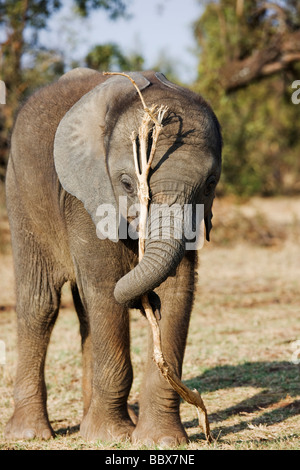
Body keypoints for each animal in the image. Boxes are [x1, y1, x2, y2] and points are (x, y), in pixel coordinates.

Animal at [3, 69, 221, 444]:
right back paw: (31, 434)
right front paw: (111, 437)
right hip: (19, 190)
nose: (147, 303)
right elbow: (105, 288)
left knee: (84, 313)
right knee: (41, 304)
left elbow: (178, 291)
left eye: (209, 184)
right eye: (126, 184)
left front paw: (159, 440)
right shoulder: (82, 196)